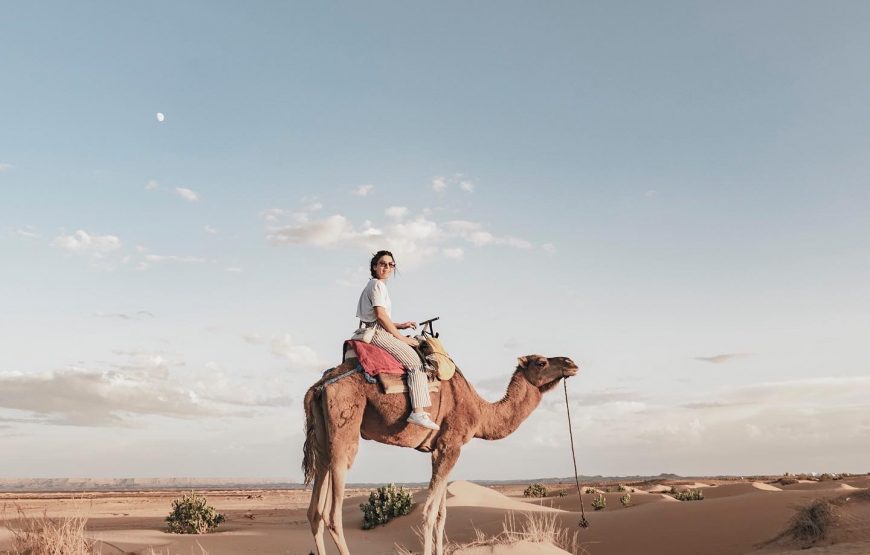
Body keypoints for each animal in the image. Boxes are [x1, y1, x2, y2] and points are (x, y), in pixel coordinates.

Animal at [304, 352, 584, 555]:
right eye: (541, 362)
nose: (571, 363)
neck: (480, 411)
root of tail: (318, 386)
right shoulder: (452, 445)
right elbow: (429, 513)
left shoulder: (438, 450)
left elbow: (441, 513)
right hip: (345, 427)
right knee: (332, 513)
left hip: (323, 441)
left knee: (314, 509)